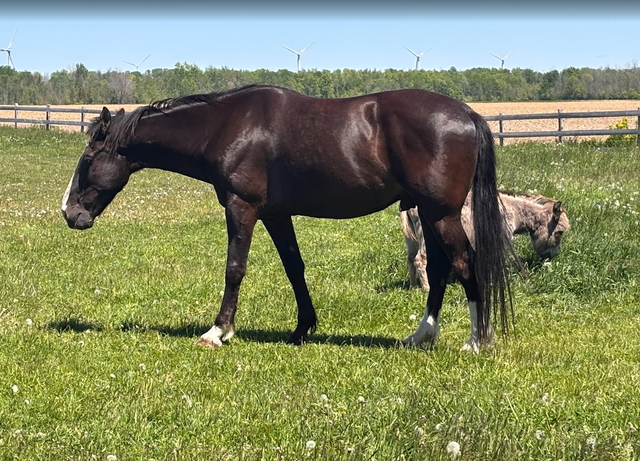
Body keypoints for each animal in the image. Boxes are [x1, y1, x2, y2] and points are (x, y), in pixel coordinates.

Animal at [61, 84, 514, 353]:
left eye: (89, 159)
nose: (70, 213)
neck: (227, 125)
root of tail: (468, 115)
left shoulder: (241, 207)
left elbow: (234, 269)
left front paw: (217, 331)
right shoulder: (277, 215)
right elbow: (294, 267)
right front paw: (302, 329)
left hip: (441, 214)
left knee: (464, 264)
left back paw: (476, 341)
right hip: (429, 213)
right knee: (438, 270)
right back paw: (421, 336)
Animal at [401, 191, 570, 291]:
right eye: (560, 233)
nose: (553, 256)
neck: (513, 211)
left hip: (412, 239)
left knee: (410, 259)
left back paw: (413, 286)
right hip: (426, 238)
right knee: (420, 260)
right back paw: (427, 288)